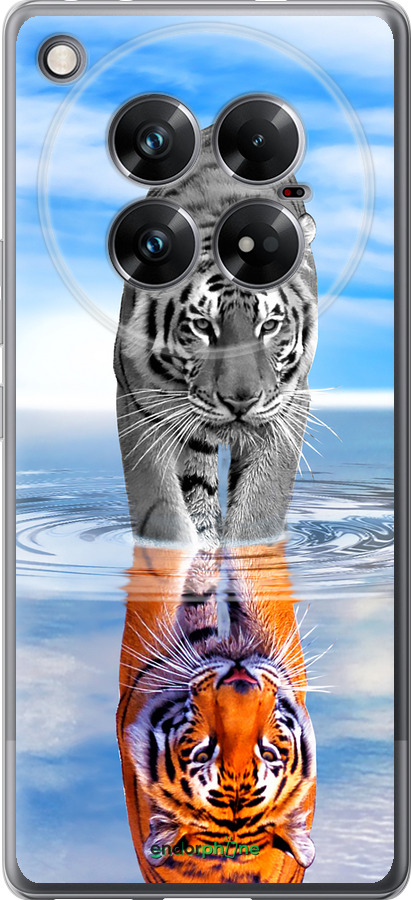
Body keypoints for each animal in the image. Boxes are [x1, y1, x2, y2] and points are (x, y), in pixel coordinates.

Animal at [114, 125, 317, 549]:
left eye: (269, 326)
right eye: (203, 326)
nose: (241, 401)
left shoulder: (289, 405)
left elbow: (259, 509)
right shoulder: (138, 403)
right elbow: (162, 511)